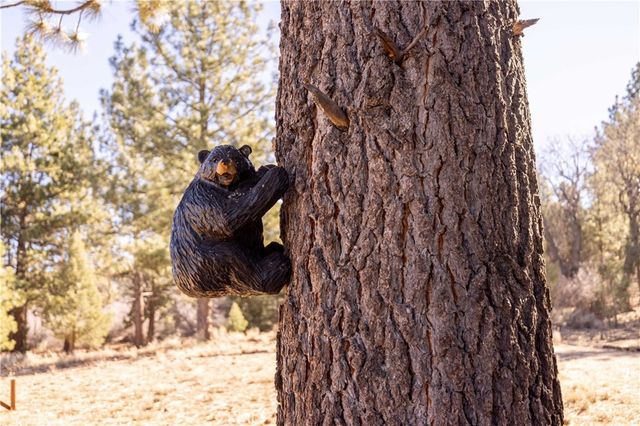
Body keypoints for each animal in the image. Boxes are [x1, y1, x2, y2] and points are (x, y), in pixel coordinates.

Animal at [170, 144, 291, 297]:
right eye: (214, 159)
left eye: (235, 158)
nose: (225, 162)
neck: (227, 186)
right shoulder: (203, 198)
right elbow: (228, 217)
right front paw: (276, 172)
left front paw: (264, 169)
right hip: (209, 261)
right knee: (243, 268)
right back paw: (276, 263)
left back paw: (273, 248)